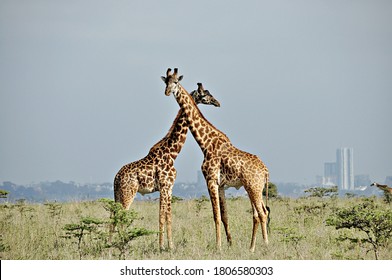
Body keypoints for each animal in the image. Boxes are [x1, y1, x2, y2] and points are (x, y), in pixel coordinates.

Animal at [160, 68, 270, 252]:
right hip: (255, 188)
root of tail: (266, 171)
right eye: (166, 82)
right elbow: (224, 215)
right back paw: (252, 247)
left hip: (254, 187)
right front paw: (228, 244)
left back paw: (266, 246)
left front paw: (218, 246)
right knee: (259, 213)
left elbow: (216, 216)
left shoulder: (210, 180)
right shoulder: (221, 185)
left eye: (176, 82)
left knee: (262, 213)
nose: (167, 92)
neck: (205, 143)